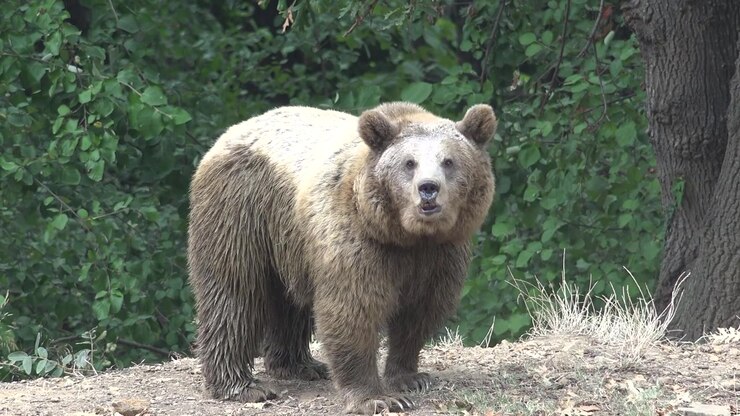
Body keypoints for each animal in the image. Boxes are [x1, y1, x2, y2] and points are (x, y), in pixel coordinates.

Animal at [187, 101, 496, 414]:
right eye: (409, 163)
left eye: (448, 161)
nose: (428, 189)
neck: (405, 235)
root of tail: (231, 132)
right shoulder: (356, 240)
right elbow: (353, 309)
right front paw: (377, 398)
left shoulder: (440, 254)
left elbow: (420, 311)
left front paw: (410, 377)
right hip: (242, 208)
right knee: (234, 292)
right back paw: (242, 385)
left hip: (290, 240)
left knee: (288, 301)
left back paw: (300, 365)